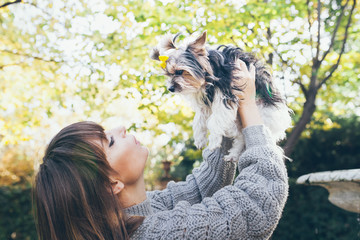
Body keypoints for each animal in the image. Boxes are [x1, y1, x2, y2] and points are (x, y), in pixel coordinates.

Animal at [150, 30, 292, 161]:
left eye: (179, 71)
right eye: (168, 74)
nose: (170, 88)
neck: (210, 70)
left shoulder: (226, 95)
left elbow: (215, 120)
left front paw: (213, 141)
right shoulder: (204, 102)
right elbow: (199, 119)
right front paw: (200, 139)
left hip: (262, 113)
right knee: (241, 136)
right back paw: (233, 155)